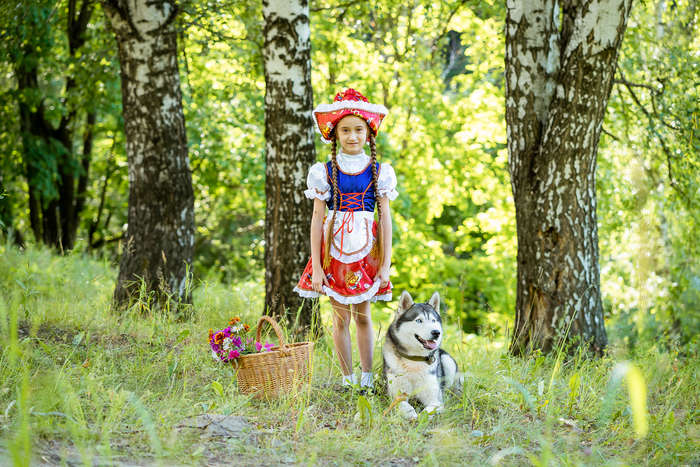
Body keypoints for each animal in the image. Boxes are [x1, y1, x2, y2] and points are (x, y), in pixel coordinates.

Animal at [382, 292, 460, 420]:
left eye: (433, 320)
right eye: (419, 320)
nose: (436, 332)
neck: (414, 360)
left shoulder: (435, 399)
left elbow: (429, 410)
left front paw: (422, 417)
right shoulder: (395, 395)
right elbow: (403, 405)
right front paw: (411, 414)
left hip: (447, 361)